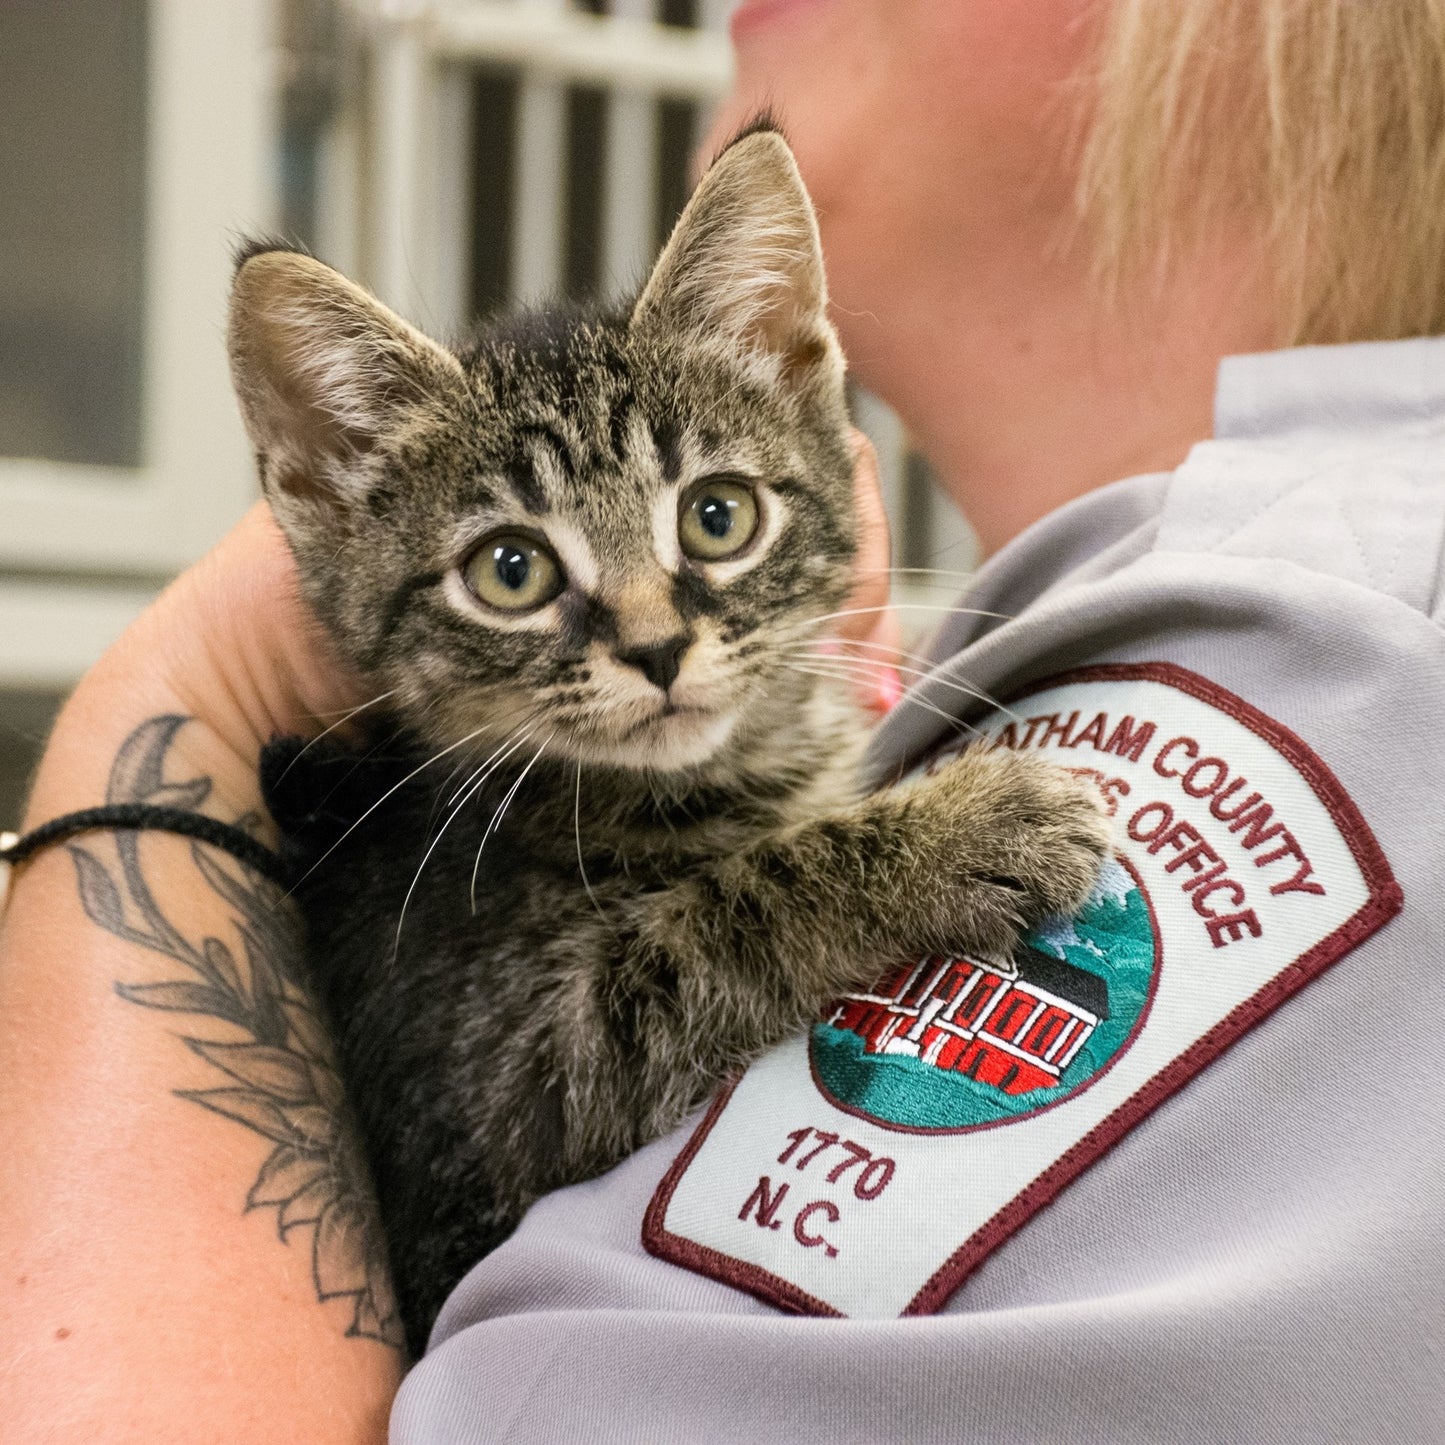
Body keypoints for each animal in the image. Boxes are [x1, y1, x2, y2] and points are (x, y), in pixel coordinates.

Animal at [231, 127, 1103, 1352]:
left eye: (716, 515)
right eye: (510, 570)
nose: (655, 648)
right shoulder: (502, 1088)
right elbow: (736, 901)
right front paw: (974, 825)